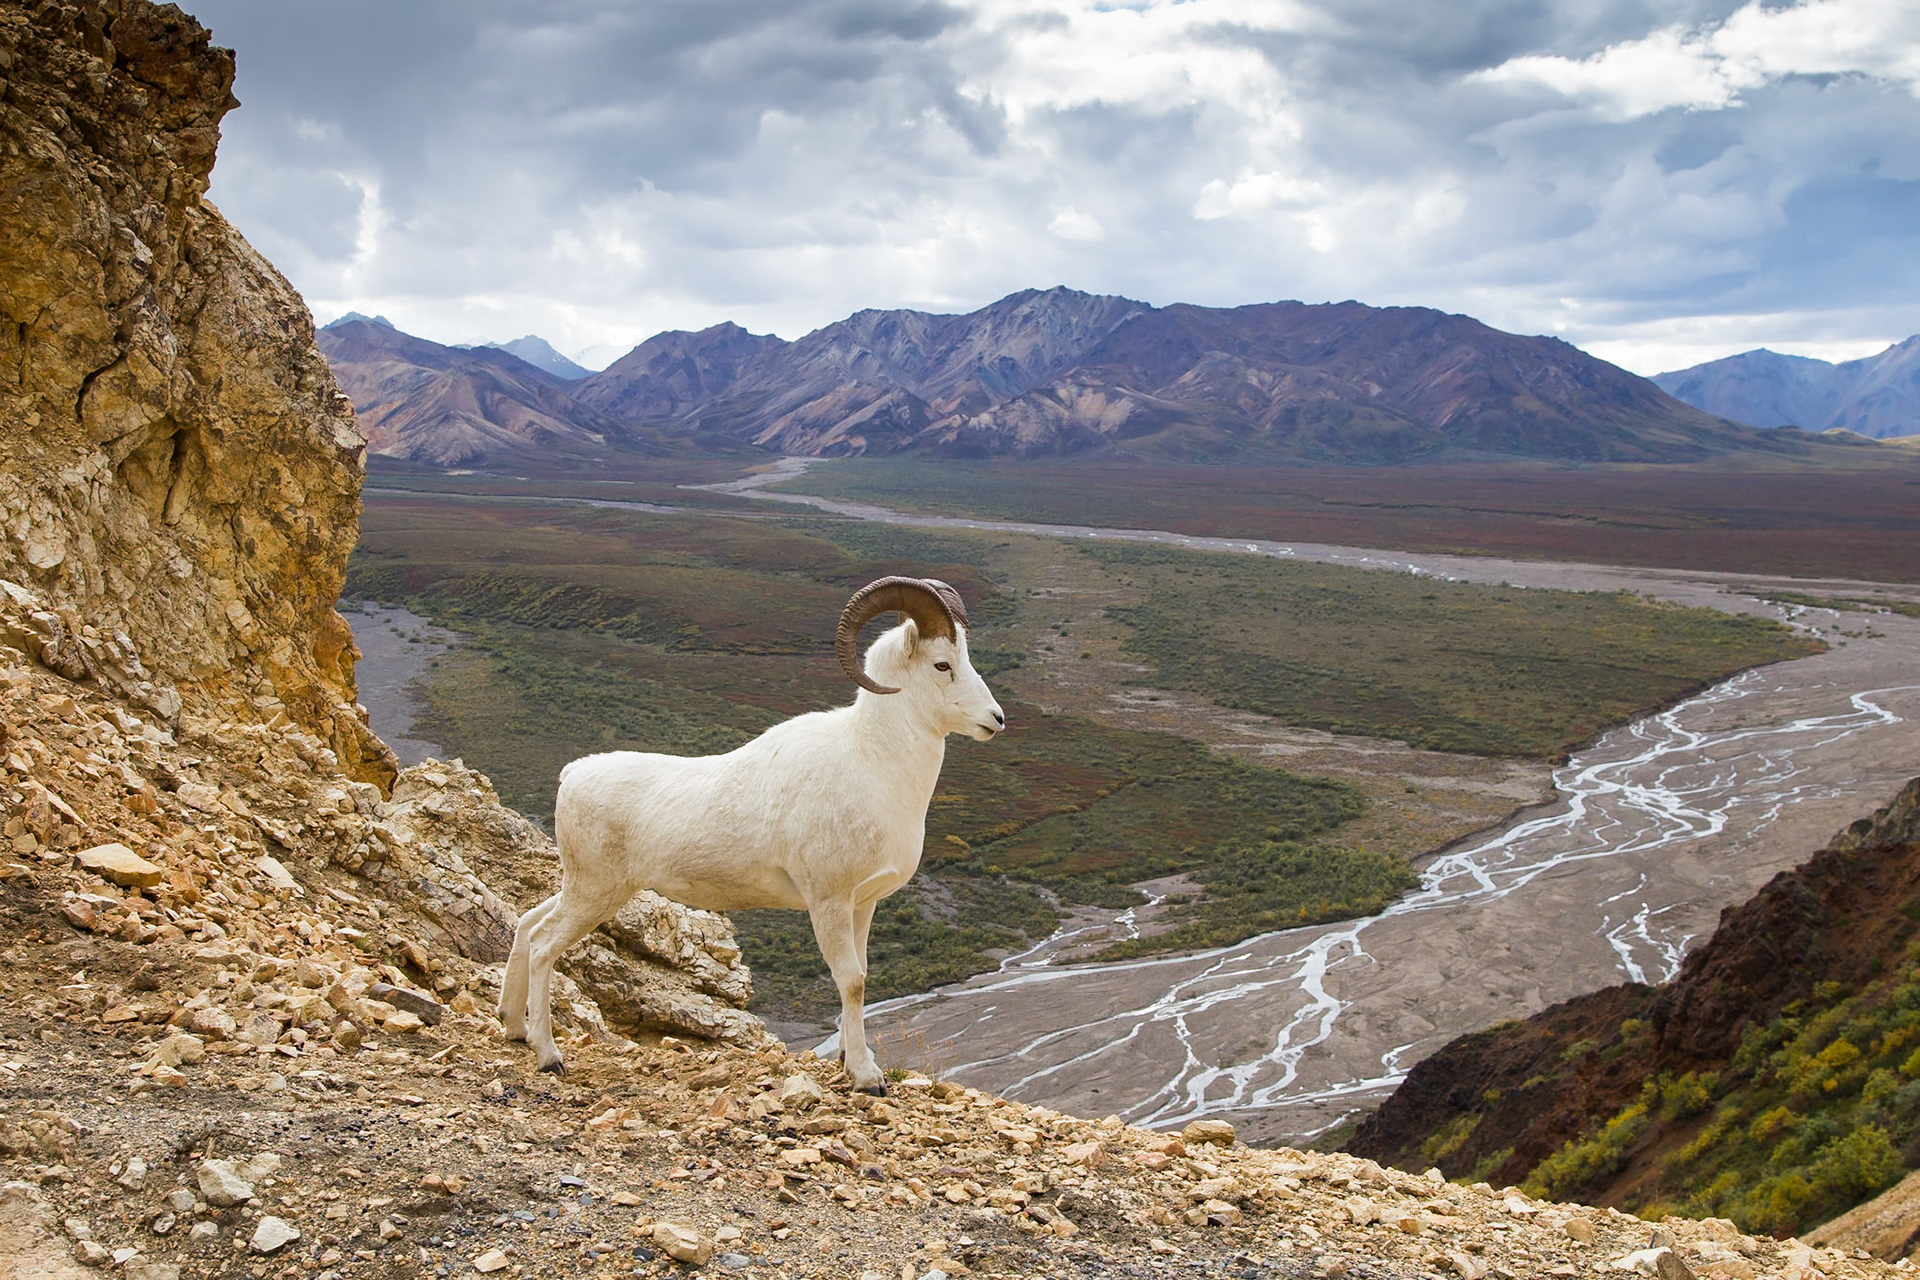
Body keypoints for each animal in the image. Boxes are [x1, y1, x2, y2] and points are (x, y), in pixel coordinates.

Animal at [497, 575, 1005, 1090]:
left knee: (526, 924)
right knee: (543, 946)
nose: (997, 719)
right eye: (942, 664)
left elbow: (860, 979)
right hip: (595, 893)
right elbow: (851, 981)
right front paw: (866, 1078)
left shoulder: (863, 905)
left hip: (590, 888)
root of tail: (572, 776)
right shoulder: (828, 901)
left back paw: (514, 1027)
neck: (873, 764)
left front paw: (850, 1059)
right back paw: (548, 1056)